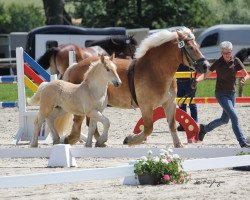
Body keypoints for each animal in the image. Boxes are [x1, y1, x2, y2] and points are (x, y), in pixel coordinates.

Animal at [62, 27, 209, 147]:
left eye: (198, 46)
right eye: (190, 47)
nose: (205, 65)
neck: (156, 70)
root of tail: (75, 65)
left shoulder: (170, 103)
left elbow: (172, 124)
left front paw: (178, 144)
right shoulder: (146, 106)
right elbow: (148, 128)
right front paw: (130, 139)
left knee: (91, 123)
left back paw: (98, 141)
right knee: (81, 122)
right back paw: (81, 139)